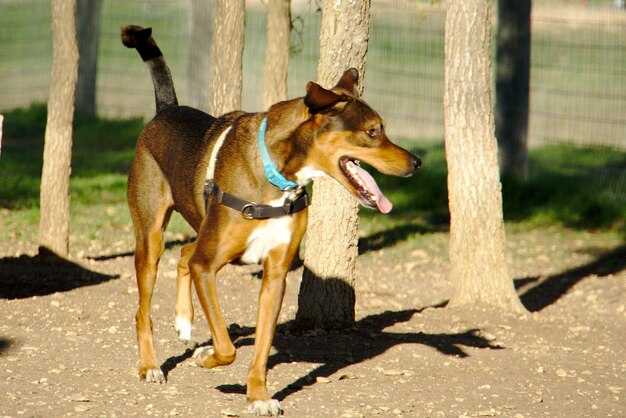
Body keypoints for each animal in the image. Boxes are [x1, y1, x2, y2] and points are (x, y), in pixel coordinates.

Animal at [120, 25, 420, 414]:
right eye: (373, 131)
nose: (417, 163)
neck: (277, 175)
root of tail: (166, 110)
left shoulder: (275, 275)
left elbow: (260, 348)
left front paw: (259, 396)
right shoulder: (208, 266)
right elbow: (227, 345)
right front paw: (207, 358)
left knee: (185, 253)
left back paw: (184, 322)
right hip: (151, 238)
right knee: (145, 308)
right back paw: (150, 365)